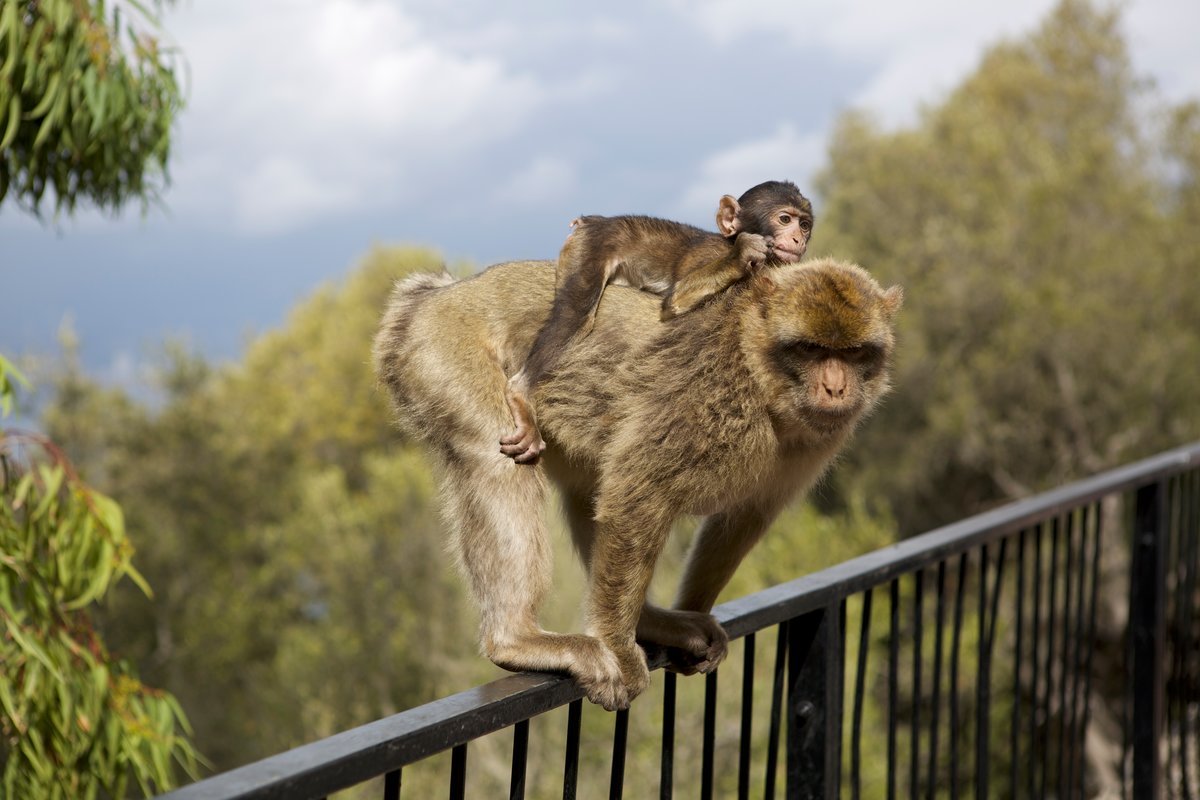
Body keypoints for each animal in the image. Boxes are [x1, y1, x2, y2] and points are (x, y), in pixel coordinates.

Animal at [373, 255, 900, 710]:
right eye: (811, 350)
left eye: (853, 353)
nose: (835, 387)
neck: (760, 375)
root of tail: (441, 294)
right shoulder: (705, 397)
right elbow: (637, 494)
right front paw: (619, 647)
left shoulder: (813, 443)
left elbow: (744, 518)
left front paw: (687, 618)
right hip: (443, 347)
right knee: (496, 462)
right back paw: (518, 638)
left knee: (587, 485)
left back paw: (646, 621)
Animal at [500, 180, 815, 464]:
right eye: (784, 219)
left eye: (804, 225)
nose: (798, 240)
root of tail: (592, 221)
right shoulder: (710, 254)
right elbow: (675, 300)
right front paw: (742, 254)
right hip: (589, 246)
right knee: (575, 312)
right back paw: (519, 392)